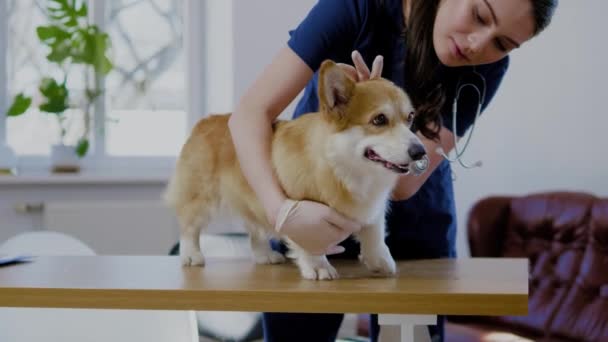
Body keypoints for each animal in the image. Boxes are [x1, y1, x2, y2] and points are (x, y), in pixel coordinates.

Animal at [164, 60, 426, 280]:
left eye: (410, 118)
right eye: (379, 120)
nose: (420, 151)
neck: (348, 168)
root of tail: (205, 121)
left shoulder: (373, 207)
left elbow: (374, 233)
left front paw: (380, 261)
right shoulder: (305, 215)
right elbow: (311, 242)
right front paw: (319, 267)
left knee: (255, 229)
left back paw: (264, 255)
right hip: (201, 199)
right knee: (189, 227)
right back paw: (191, 255)